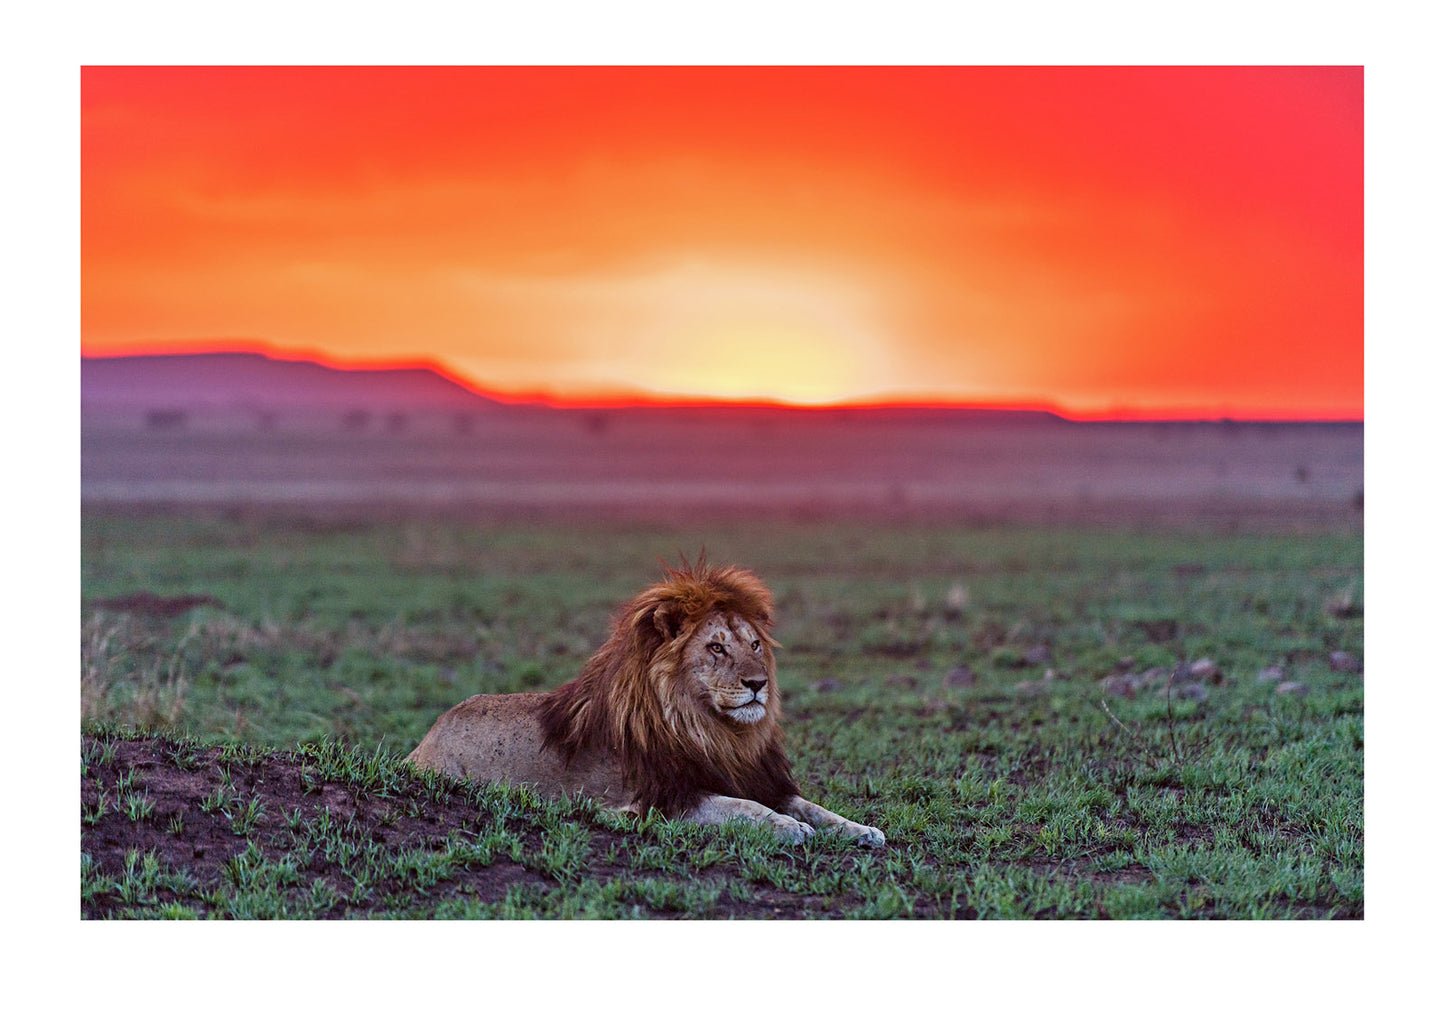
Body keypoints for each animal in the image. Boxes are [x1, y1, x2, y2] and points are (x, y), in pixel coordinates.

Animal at [406, 560, 885, 846]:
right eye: (716, 647)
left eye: (754, 645)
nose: (758, 683)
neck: (717, 733)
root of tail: (427, 734)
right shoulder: (664, 799)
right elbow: (744, 808)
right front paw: (789, 828)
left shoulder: (757, 778)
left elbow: (813, 806)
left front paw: (863, 829)